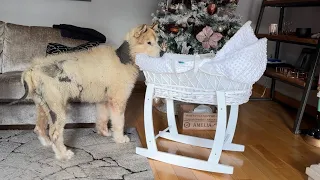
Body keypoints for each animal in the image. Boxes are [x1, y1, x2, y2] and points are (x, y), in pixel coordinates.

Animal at [12, 23, 162, 160]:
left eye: (158, 41)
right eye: (149, 43)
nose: (162, 53)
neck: (125, 59)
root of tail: (32, 69)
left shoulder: (103, 101)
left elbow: (102, 117)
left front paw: (104, 132)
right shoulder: (118, 100)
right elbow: (119, 121)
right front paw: (120, 138)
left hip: (43, 105)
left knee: (39, 127)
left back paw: (46, 143)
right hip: (57, 108)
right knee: (54, 134)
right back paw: (63, 154)